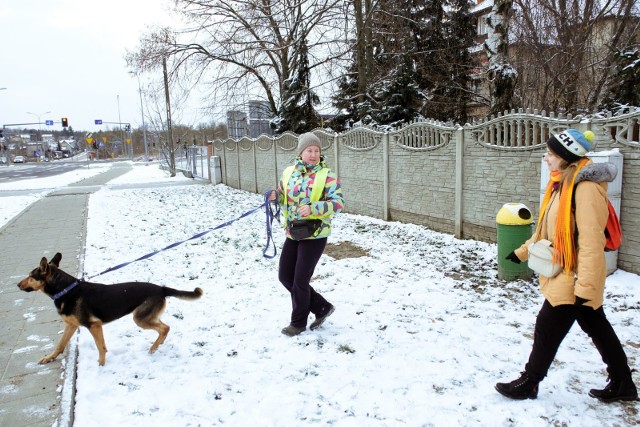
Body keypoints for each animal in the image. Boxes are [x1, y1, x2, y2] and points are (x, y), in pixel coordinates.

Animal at [17, 254, 204, 368]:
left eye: (31, 276)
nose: (17, 285)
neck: (65, 289)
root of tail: (161, 288)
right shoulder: (71, 326)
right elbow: (60, 345)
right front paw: (49, 358)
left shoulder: (94, 325)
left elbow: (101, 347)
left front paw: (101, 364)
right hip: (146, 317)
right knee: (164, 328)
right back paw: (158, 345)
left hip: (139, 318)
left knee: (165, 328)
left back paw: (153, 348)